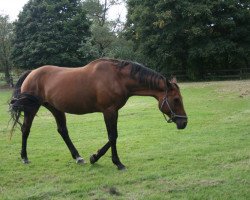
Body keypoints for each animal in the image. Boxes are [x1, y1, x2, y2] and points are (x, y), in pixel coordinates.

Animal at [8, 58, 188, 170]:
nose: (184, 122)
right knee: (25, 130)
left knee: (62, 131)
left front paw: (93, 157)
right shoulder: (109, 111)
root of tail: (32, 72)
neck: (118, 78)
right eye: (176, 99)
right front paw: (117, 163)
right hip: (31, 109)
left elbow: (112, 137)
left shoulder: (112, 111)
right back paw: (24, 157)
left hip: (56, 108)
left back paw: (78, 157)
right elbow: (113, 136)